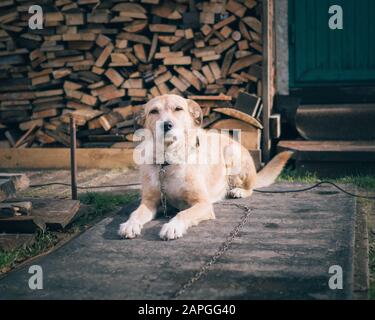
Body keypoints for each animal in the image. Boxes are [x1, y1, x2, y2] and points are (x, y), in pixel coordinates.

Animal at [117, 95, 294, 240]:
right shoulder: (150, 202)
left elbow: (183, 214)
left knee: (250, 187)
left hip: (231, 153)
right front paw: (130, 224)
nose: (166, 125)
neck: (168, 161)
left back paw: (238, 191)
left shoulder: (202, 204)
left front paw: (172, 227)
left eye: (178, 109)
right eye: (154, 111)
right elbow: (135, 213)